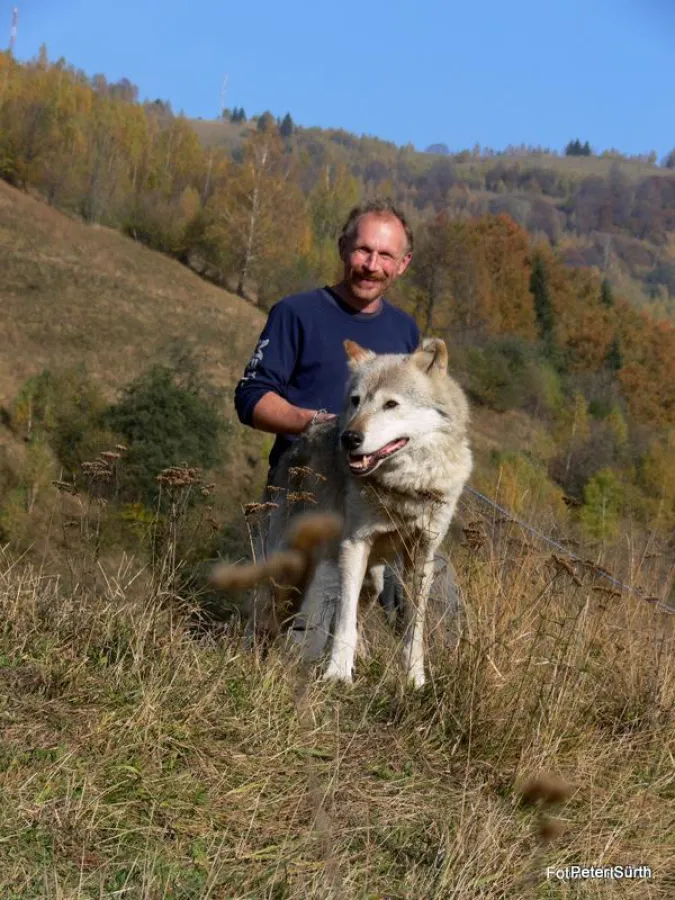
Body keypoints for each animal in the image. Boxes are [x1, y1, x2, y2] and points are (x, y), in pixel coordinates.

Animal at [251, 337, 472, 687]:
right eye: (356, 400)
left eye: (391, 404)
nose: (349, 437)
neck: (403, 489)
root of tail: (304, 434)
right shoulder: (354, 546)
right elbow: (343, 622)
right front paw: (338, 675)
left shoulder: (422, 555)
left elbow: (414, 630)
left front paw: (415, 681)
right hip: (293, 565)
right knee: (272, 614)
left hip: (374, 580)